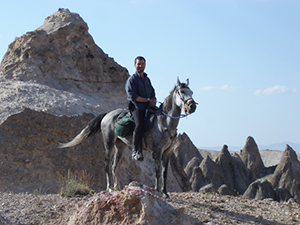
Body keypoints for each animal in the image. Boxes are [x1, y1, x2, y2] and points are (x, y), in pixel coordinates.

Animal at [58, 77, 197, 197]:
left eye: (191, 92)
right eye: (182, 92)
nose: (192, 106)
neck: (164, 123)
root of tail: (107, 114)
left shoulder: (167, 152)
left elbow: (164, 173)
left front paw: (165, 193)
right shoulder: (157, 151)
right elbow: (157, 172)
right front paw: (157, 191)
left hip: (120, 146)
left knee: (114, 165)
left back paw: (117, 187)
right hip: (108, 143)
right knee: (107, 164)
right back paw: (109, 187)